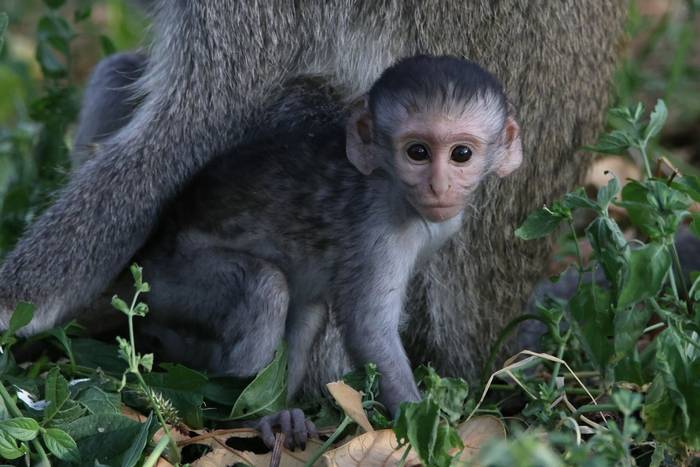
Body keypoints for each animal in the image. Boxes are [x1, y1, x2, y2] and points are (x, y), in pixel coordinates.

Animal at [125, 54, 521, 448]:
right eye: (417, 152)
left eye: (461, 154)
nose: (439, 186)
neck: (389, 182)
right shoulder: (377, 225)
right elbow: (367, 327)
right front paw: (423, 428)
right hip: (168, 286)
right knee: (264, 286)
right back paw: (253, 416)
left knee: (306, 311)